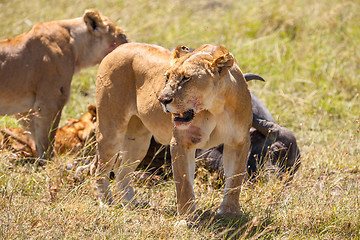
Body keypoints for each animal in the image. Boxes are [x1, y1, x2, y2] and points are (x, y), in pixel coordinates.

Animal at [0, 9, 129, 160]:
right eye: (123, 36)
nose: (131, 44)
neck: (74, 44)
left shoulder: (25, 109)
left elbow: (35, 137)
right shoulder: (50, 102)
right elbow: (47, 141)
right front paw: (49, 162)